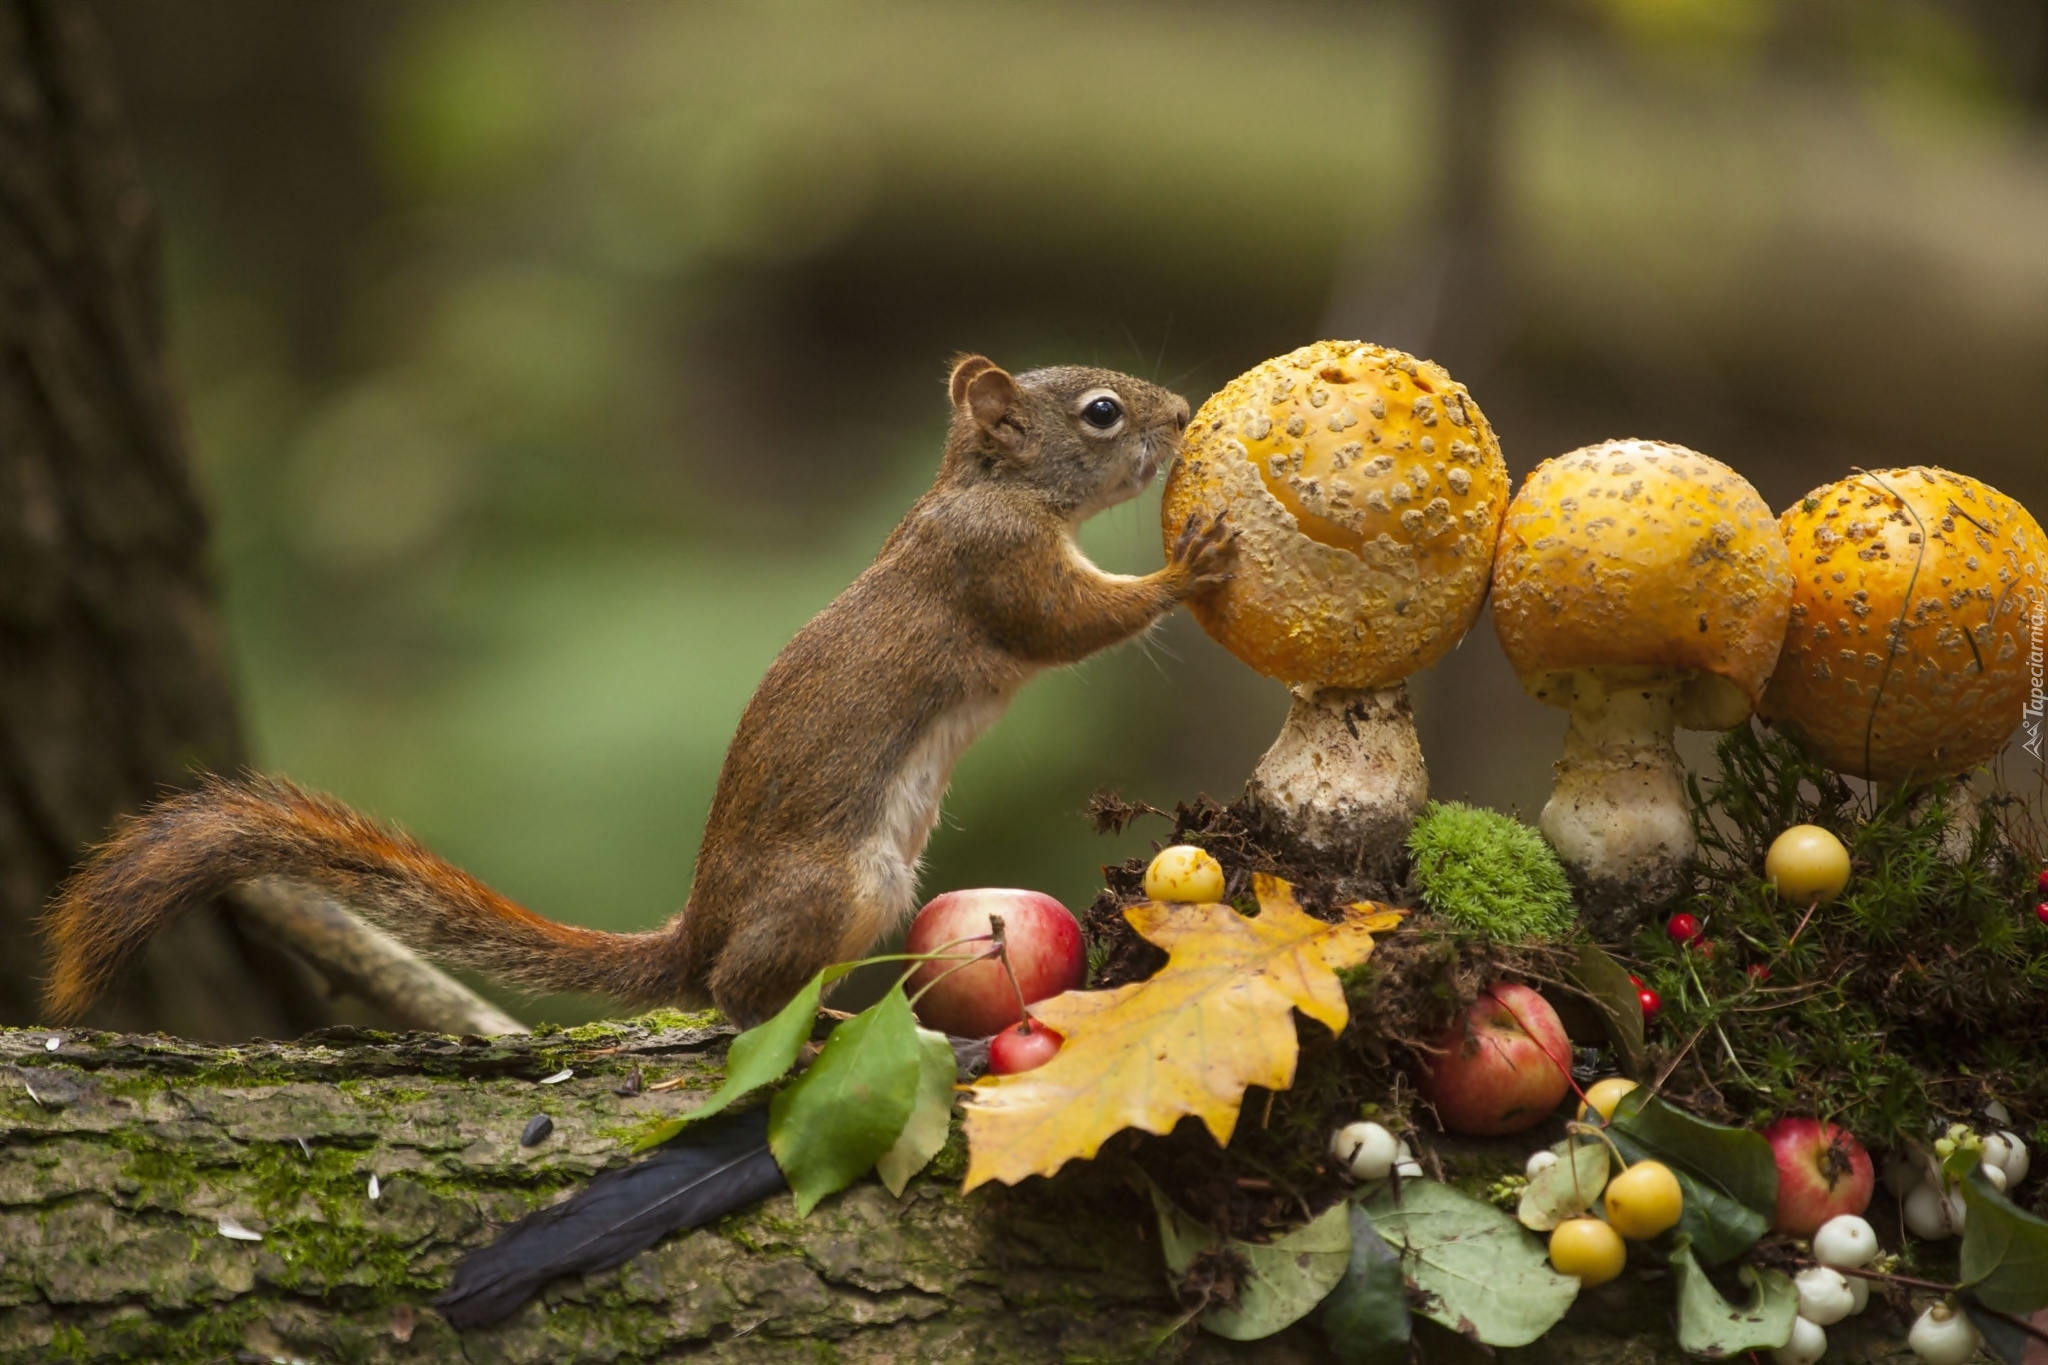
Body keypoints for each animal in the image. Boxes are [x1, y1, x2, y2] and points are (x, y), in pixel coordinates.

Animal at [44, 358, 1228, 1031]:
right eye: (1102, 412)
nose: (1183, 413)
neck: (985, 487)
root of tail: (693, 931)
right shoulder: (994, 568)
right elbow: (1068, 625)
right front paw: (1189, 566)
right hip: (840, 887)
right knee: (732, 996)